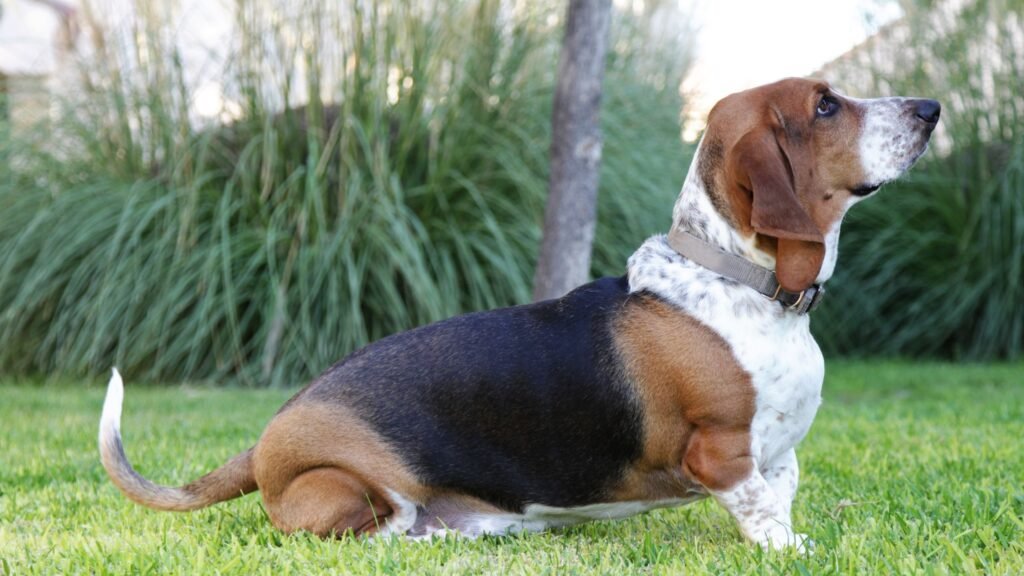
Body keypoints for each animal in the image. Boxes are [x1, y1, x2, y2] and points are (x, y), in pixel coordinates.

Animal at [99, 77, 937, 545]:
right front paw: (787, 554)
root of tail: (265, 439)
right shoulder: (722, 453)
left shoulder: (781, 455)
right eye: (825, 106)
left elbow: (779, 501)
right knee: (366, 539)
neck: (741, 281)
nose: (931, 107)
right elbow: (762, 512)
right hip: (354, 492)